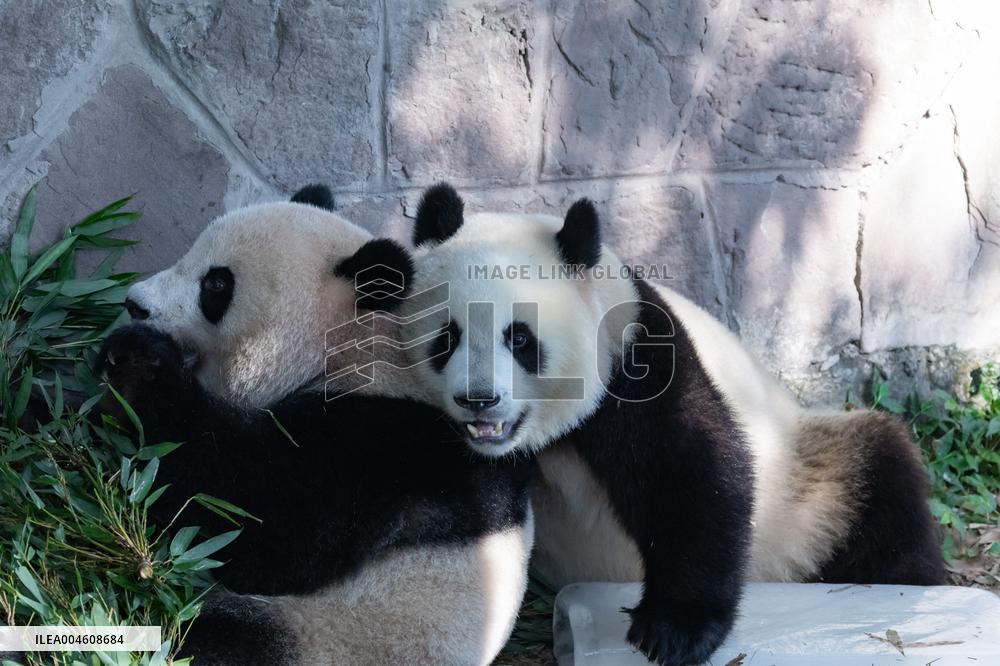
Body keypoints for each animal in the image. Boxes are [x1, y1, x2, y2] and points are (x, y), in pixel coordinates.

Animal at [98, 186, 536, 665]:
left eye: (215, 284)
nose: (135, 304)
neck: (360, 343)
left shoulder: (376, 446)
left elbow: (257, 522)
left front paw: (138, 363)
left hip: (329, 637)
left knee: (217, 638)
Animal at [401, 183, 946, 666]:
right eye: (447, 337)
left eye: (518, 338)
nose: (478, 400)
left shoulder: (634, 355)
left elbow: (690, 472)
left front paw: (673, 631)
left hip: (804, 489)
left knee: (879, 476)